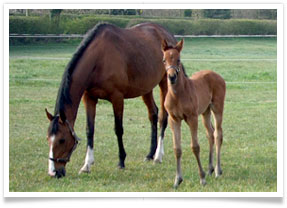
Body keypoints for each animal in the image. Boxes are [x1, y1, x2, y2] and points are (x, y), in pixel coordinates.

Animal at [44, 23, 178, 179]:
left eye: (62, 140)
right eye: (48, 138)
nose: (53, 172)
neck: (99, 59)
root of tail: (166, 33)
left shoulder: (117, 98)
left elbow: (118, 129)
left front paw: (121, 161)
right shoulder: (89, 98)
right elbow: (90, 130)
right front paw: (86, 165)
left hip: (165, 83)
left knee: (163, 117)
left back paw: (158, 156)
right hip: (146, 88)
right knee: (153, 114)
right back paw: (150, 154)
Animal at [161, 39, 226, 188]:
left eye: (178, 59)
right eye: (164, 60)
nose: (171, 77)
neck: (178, 95)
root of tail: (217, 75)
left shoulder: (192, 118)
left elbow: (195, 146)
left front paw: (202, 178)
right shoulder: (174, 119)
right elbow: (177, 149)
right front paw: (177, 180)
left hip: (217, 108)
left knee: (218, 134)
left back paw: (217, 170)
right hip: (205, 112)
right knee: (210, 133)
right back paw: (210, 168)